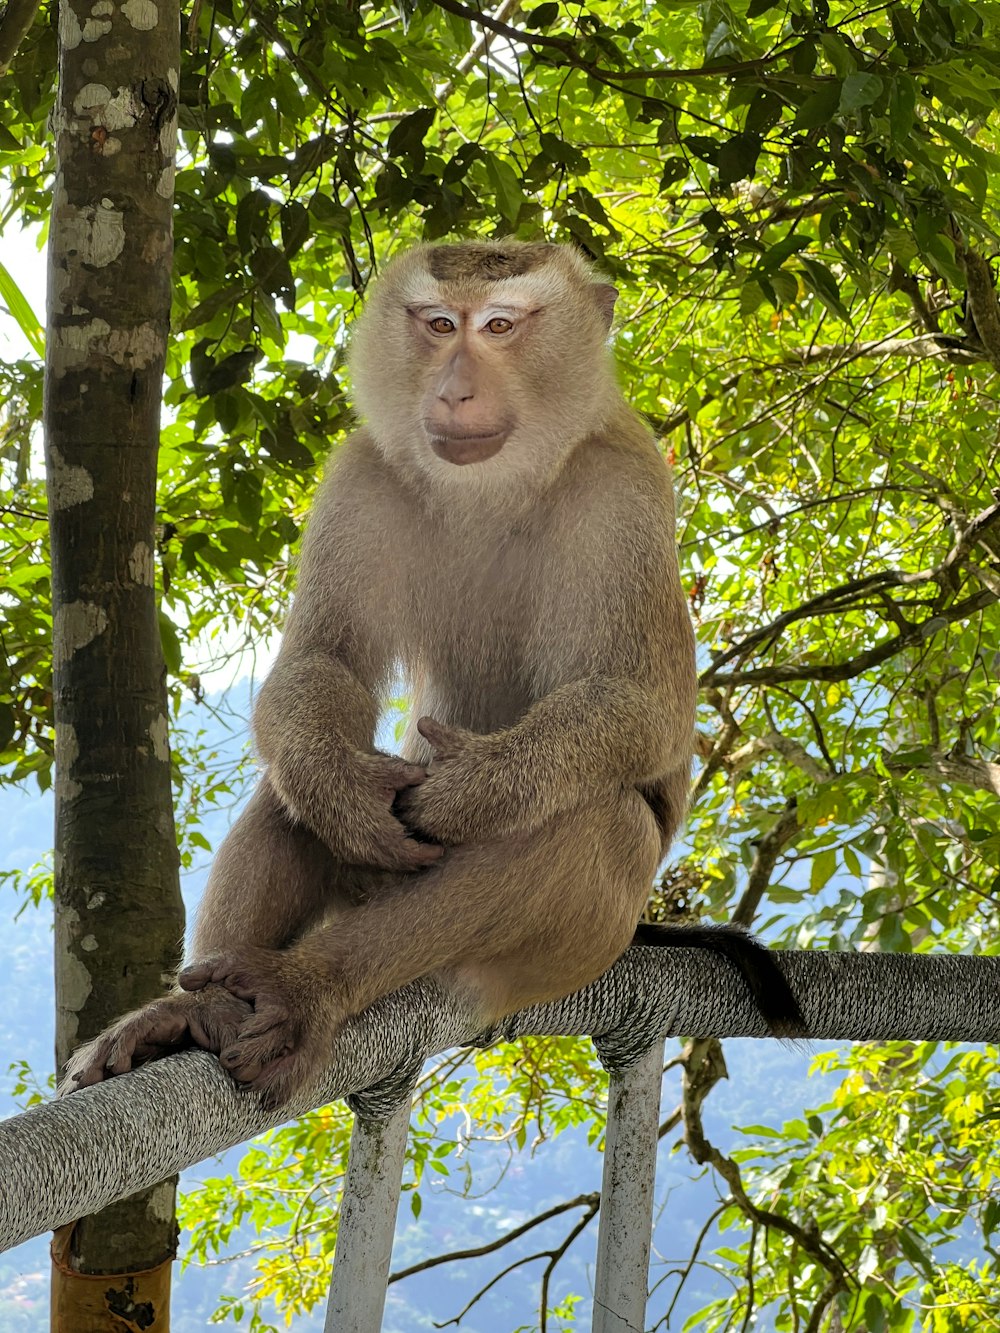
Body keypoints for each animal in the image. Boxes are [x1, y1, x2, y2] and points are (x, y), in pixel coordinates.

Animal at [62, 245, 805, 1109]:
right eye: (441, 324)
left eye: (501, 326)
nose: (454, 389)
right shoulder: (359, 475)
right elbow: (326, 661)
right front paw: (336, 782)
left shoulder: (624, 490)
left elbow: (640, 704)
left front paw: (477, 788)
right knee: (297, 784)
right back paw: (196, 1009)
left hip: (576, 944)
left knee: (600, 820)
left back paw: (311, 985)